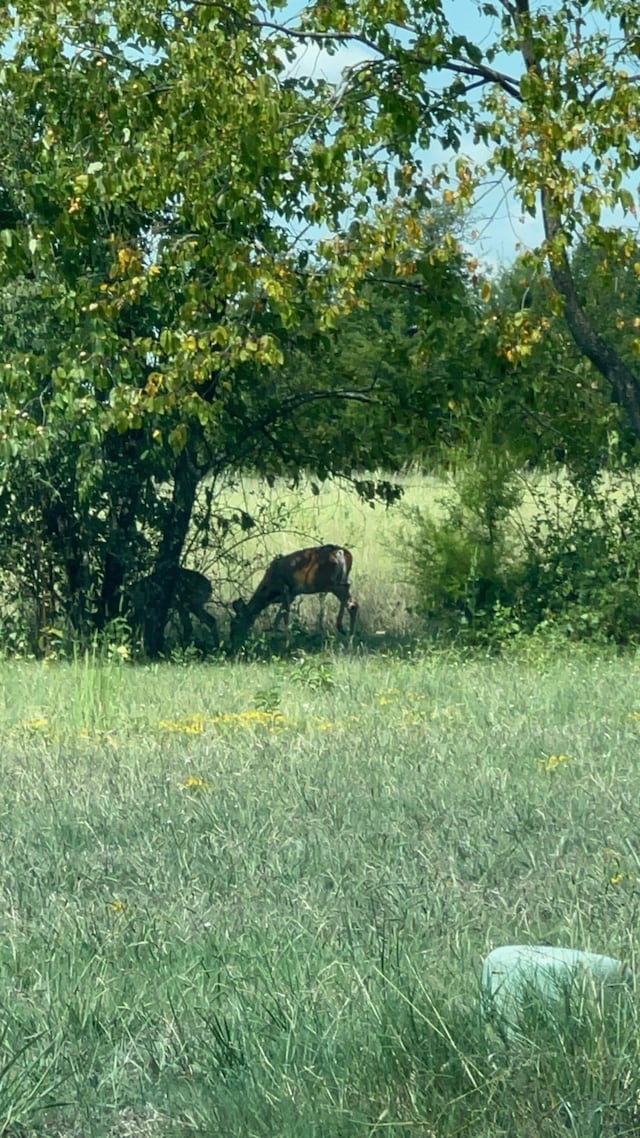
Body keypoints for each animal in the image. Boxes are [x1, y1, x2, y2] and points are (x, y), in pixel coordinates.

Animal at [230, 543, 359, 650]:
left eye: (234, 623)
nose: (233, 641)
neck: (268, 591)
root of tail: (341, 552)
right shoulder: (291, 595)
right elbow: (278, 618)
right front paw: (273, 639)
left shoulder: (285, 590)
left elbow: (285, 618)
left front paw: (287, 644)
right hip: (333, 582)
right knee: (353, 603)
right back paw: (350, 638)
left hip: (328, 582)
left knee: (348, 593)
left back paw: (341, 627)